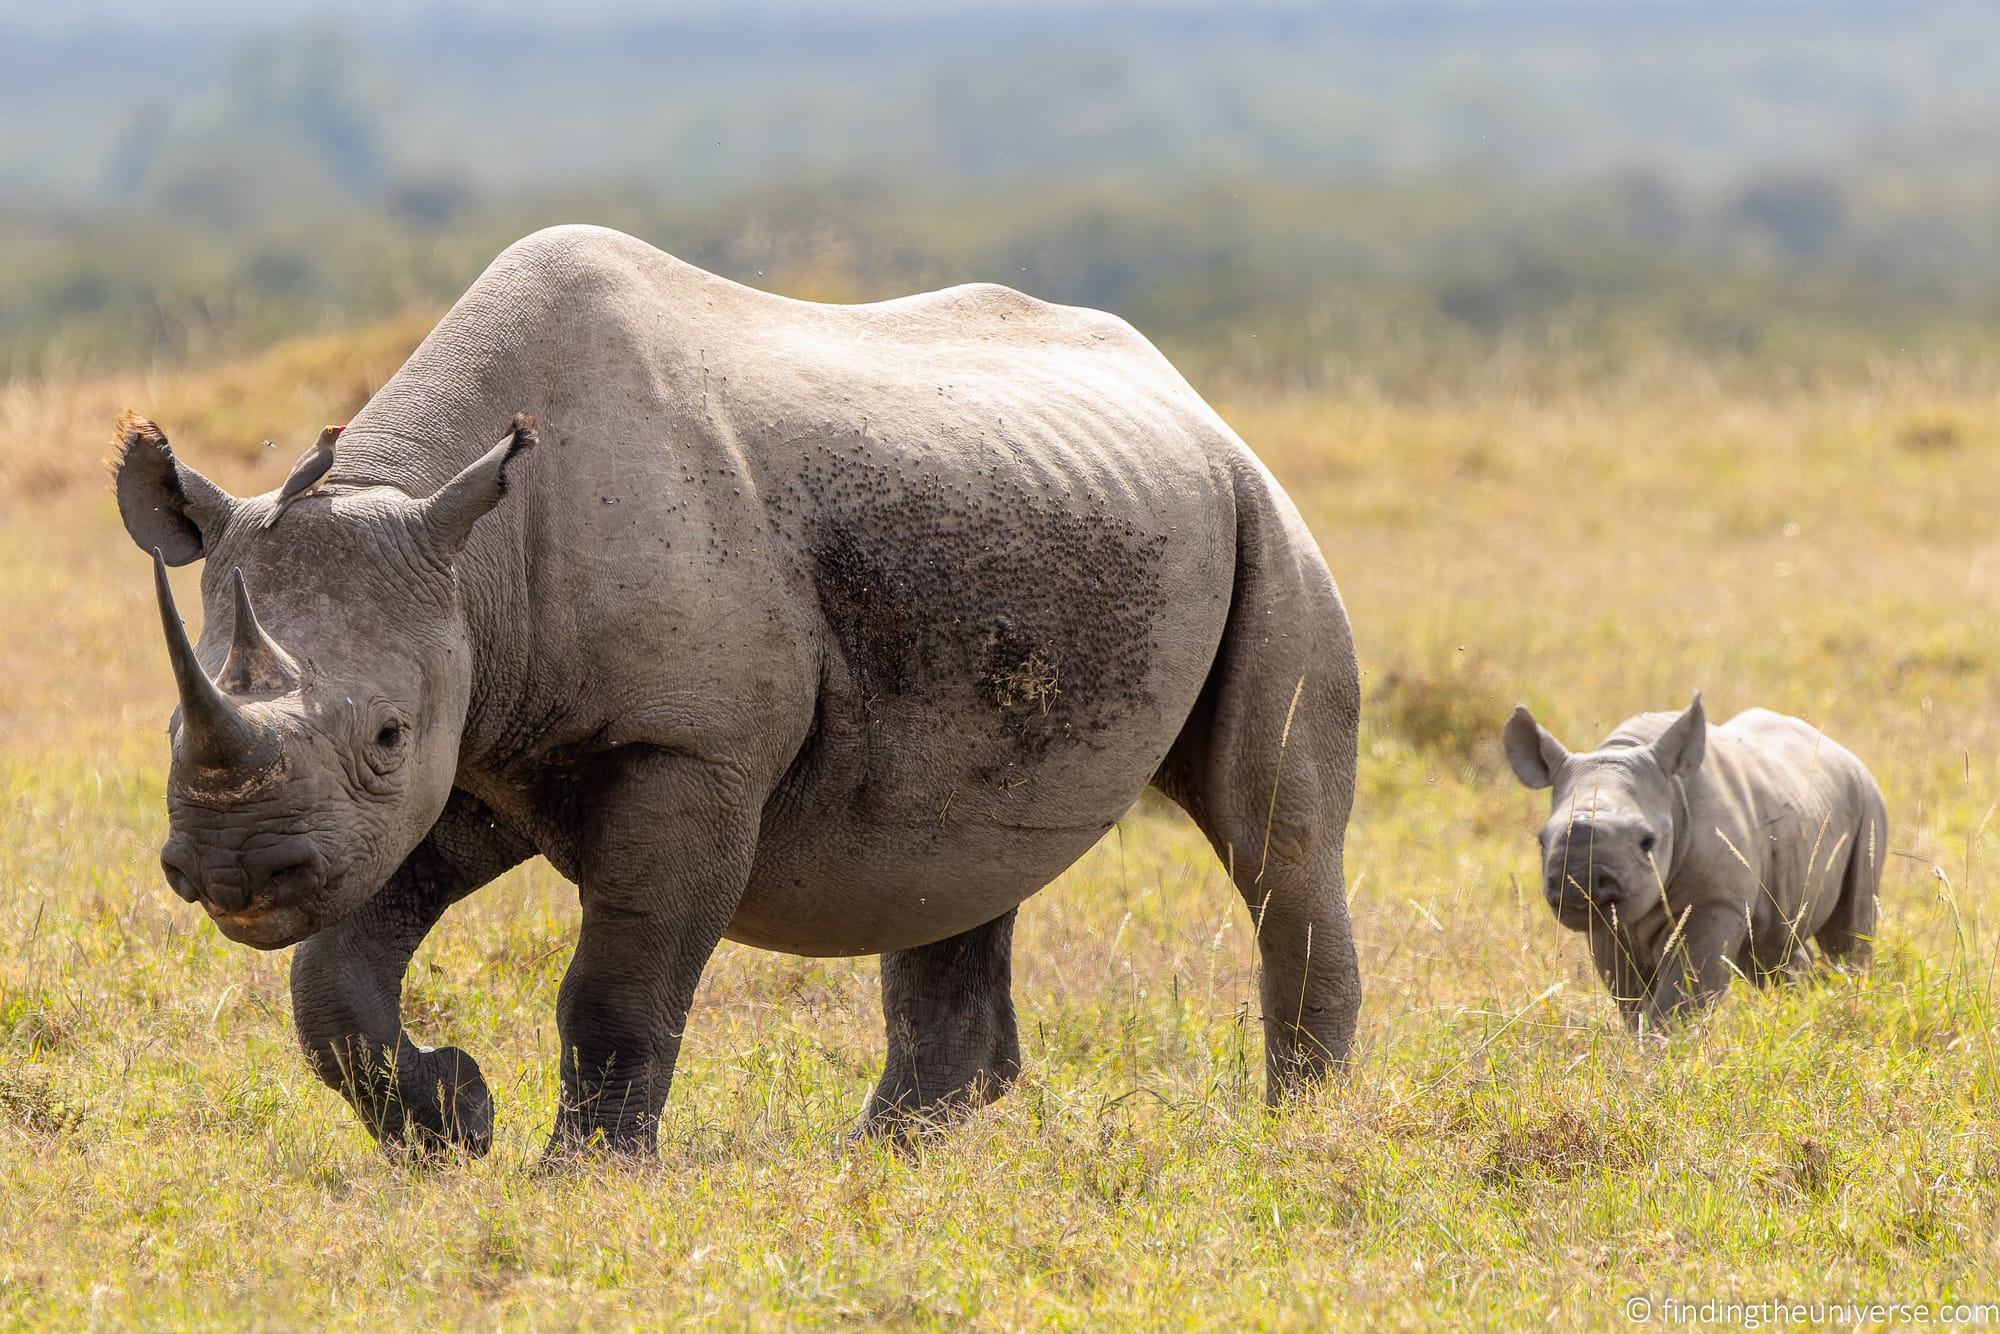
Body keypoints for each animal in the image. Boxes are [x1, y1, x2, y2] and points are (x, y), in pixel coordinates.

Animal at [117, 227, 1368, 1160]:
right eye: (171, 720)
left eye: (382, 731)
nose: (232, 873)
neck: (465, 548)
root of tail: (1182, 390)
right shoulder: (475, 738)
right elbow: (331, 977)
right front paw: (454, 1122)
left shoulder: (683, 747)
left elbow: (616, 985)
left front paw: (584, 1178)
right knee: (959, 854)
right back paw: (874, 1164)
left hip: (1260, 512)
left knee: (1273, 833)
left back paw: (1296, 1132)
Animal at [1504, 696, 1880, 1032]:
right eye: (1541, 840)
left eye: (1647, 842)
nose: (1579, 881)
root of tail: (1841, 750)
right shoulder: (1609, 926)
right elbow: (1630, 996)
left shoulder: (1715, 903)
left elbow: (1682, 994)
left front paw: (1662, 1050)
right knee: (1772, 949)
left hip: (1869, 799)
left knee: (1849, 931)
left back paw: (1852, 997)